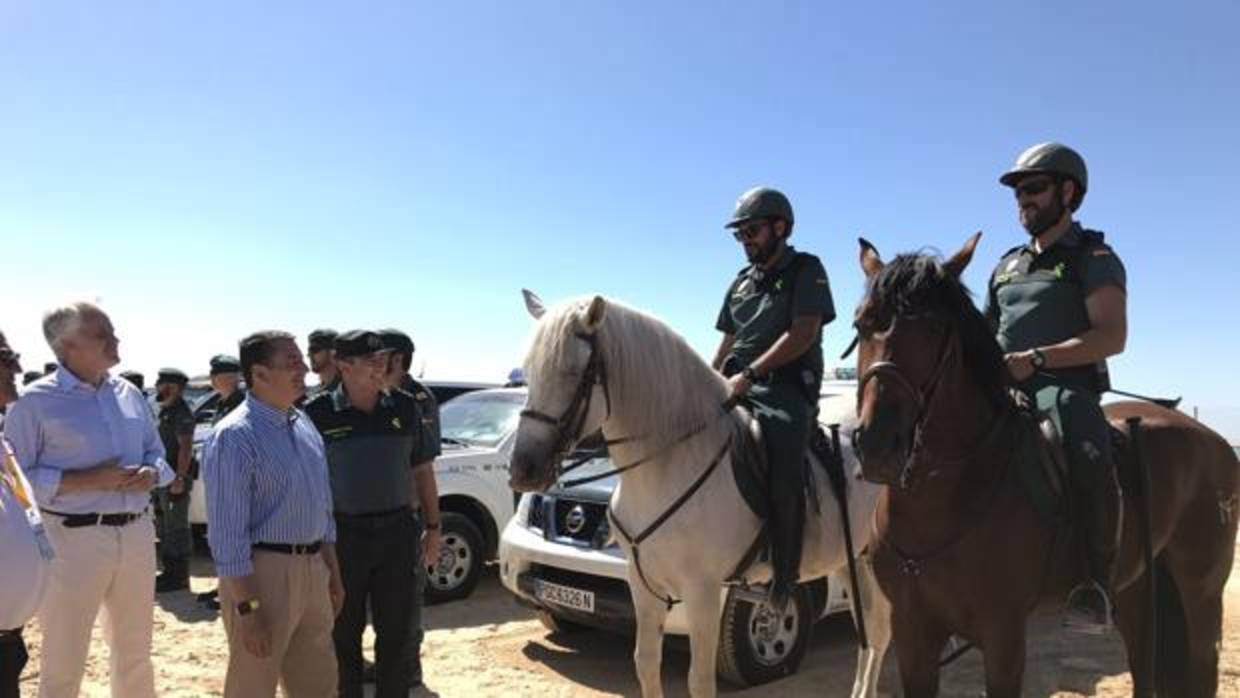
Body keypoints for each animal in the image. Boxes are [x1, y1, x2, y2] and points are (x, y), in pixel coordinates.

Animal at [510, 292, 892, 694]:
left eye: (572, 372)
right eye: (529, 372)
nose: (523, 469)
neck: (667, 466)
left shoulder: (703, 592)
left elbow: (700, 680)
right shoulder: (642, 585)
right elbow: (646, 663)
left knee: (880, 630)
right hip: (852, 561)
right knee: (869, 631)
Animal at [853, 236, 1240, 698]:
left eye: (933, 329)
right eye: (861, 325)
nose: (877, 444)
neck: (936, 502)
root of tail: (1213, 440)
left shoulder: (1003, 635)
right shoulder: (913, 633)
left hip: (1200, 592)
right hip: (1137, 588)